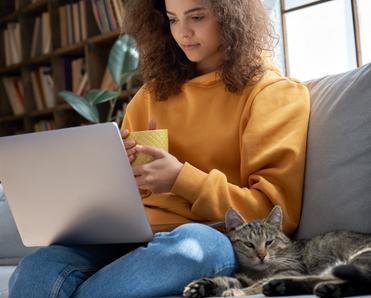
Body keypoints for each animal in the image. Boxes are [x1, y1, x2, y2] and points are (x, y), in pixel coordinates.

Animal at [185, 206, 371, 296]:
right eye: (249, 244)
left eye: (269, 242)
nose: (261, 256)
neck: (258, 272)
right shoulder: (243, 278)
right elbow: (226, 280)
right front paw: (201, 285)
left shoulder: (293, 270)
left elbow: (256, 285)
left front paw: (238, 292)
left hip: (360, 257)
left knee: (362, 281)